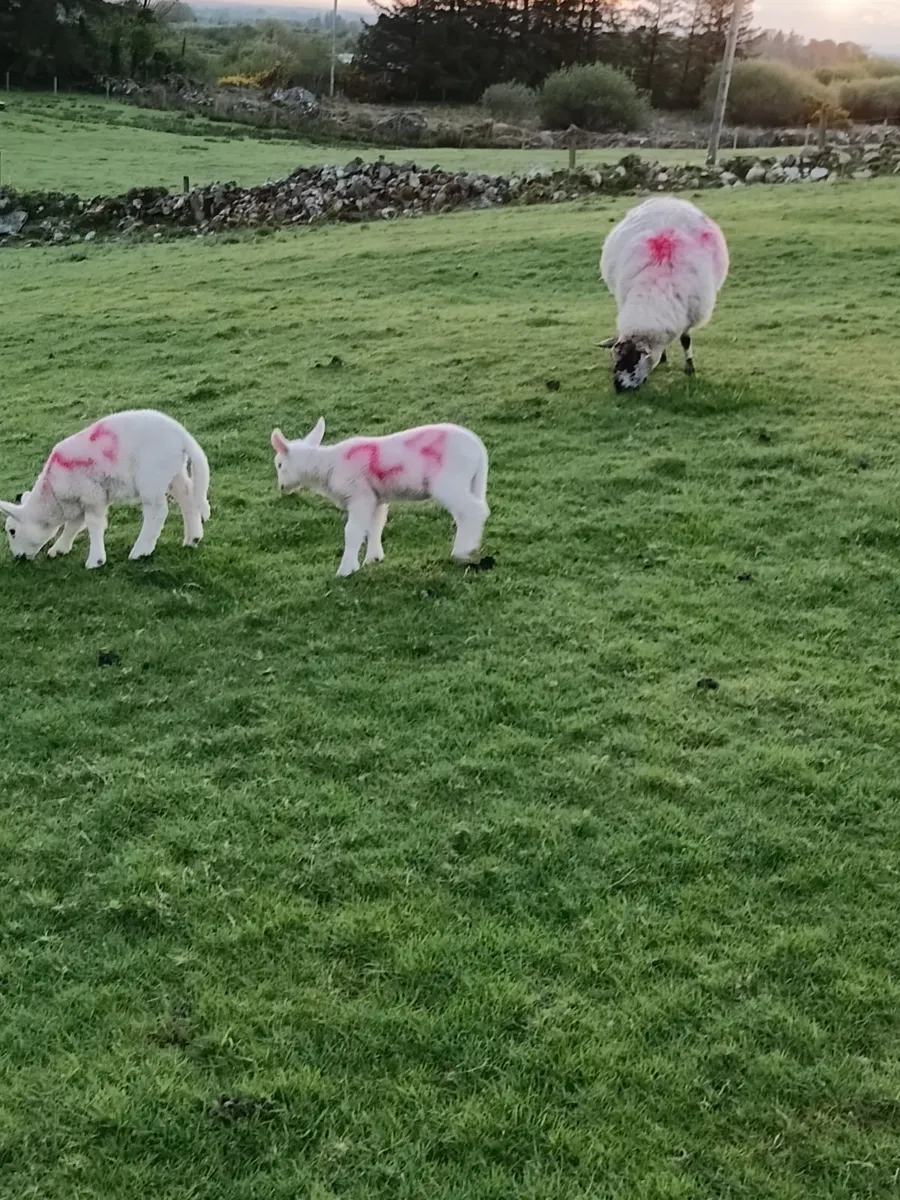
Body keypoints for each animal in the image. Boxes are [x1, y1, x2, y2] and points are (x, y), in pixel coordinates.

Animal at [0, 409, 210, 569]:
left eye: (12, 531)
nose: (18, 557)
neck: (52, 496)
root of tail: (182, 435)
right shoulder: (79, 500)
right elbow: (73, 525)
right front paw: (60, 548)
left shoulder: (92, 495)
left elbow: (94, 524)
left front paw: (96, 560)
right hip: (173, 472)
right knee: (187, 496)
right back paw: (193, 538)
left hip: (151, 476)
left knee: (157, 512)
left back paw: (141, 550)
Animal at [271, 418, 490, 577]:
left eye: (279, 465)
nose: (281, 487)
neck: (326, 466)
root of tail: (480, 451)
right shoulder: (375, 498)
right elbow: (375, 526)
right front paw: (373, 559)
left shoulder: (360, 496)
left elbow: (352, 531)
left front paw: (345, 570)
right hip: (468, 482)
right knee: (466, 514)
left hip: (448, 481)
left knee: (475, 511)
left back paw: (461, 551)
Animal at [599, 196, 729, 393]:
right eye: (616, 359)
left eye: (634, 361)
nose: (619, 387)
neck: (653, 291)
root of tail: (667, 200)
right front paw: (663, 358)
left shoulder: (688, 313)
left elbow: (685, 340)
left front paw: (690, 369)